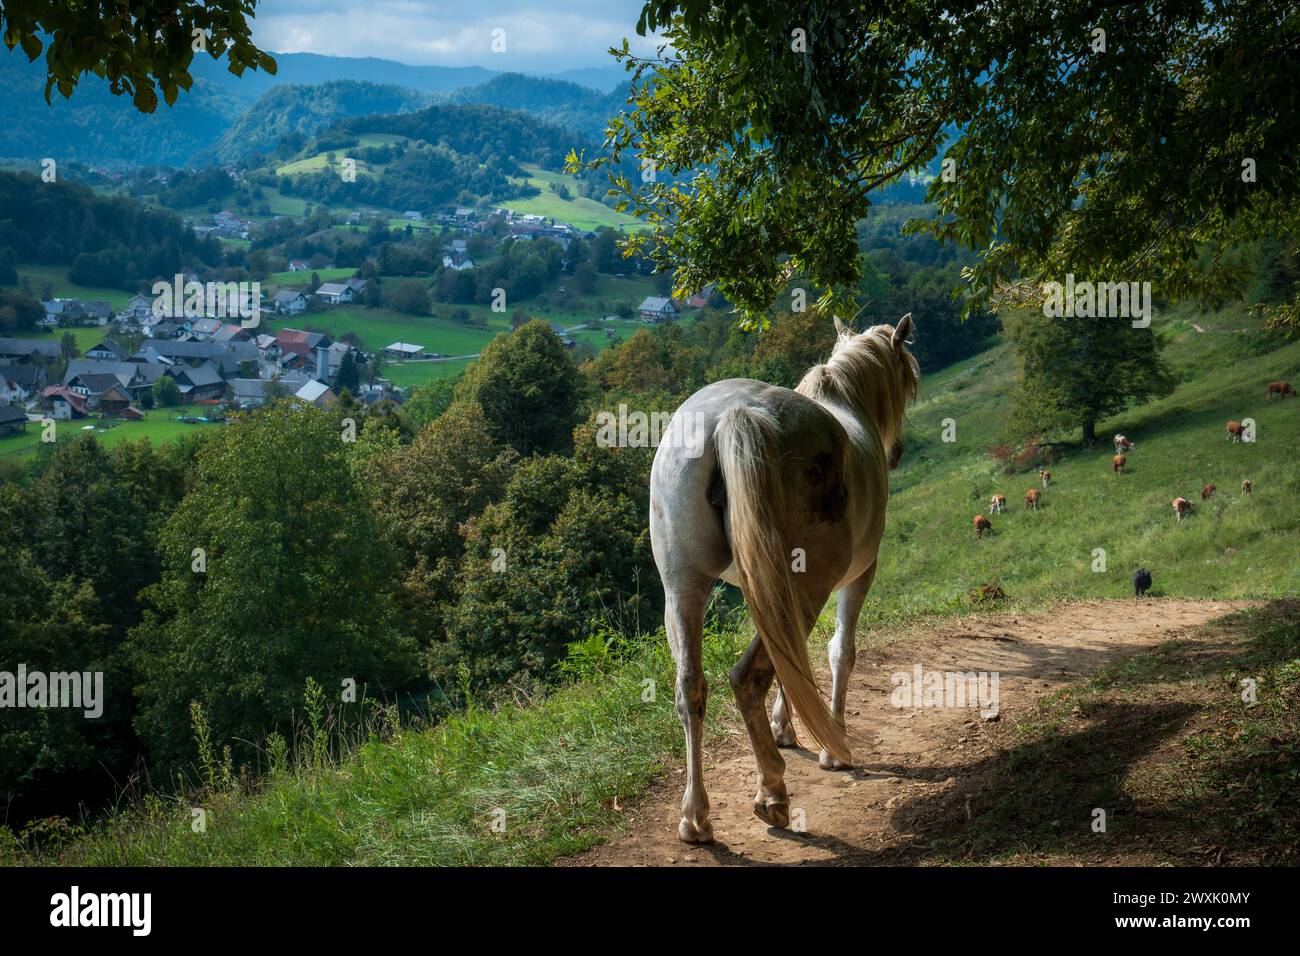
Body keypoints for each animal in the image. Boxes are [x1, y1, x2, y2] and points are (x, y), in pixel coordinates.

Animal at [649, 314, 919, 844]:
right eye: (907, 380)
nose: (896, 452)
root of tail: (736, 415)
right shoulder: (857, 576)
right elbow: (836, 652)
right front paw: (831, 747)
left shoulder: (766, 591)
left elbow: (788, 653)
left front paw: (785, 728)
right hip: (809, 585)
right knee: (748, 677)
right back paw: (772, 792)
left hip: (683, 588)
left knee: (691, 687)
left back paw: (696, 816)